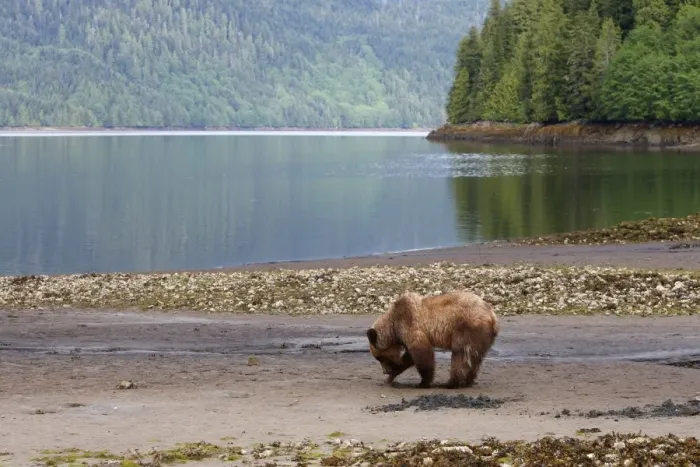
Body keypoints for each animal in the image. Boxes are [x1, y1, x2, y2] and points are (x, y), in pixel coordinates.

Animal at [366, 289, 499, 389]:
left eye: (379, 357)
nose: (385, 371)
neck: (393, 326)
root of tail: (492, 316)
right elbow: (409, 358)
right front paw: (390, 378)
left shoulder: (410, 324)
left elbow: (422, 353)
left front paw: (423, 382)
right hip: (483, 337)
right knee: (475, 357)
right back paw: (468, 381)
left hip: (467, 327)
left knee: (461, 354)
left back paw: (452, 382)